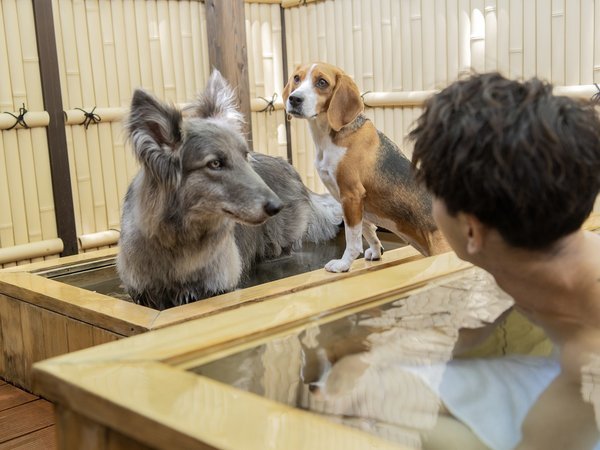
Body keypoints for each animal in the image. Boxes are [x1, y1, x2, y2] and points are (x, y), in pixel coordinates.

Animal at [117, 71, 342, 310]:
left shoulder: (218, 288)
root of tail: (286, 164)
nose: (277, 206)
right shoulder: (145, 294)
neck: (179, 239)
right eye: (215, 164)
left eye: (244, 156)